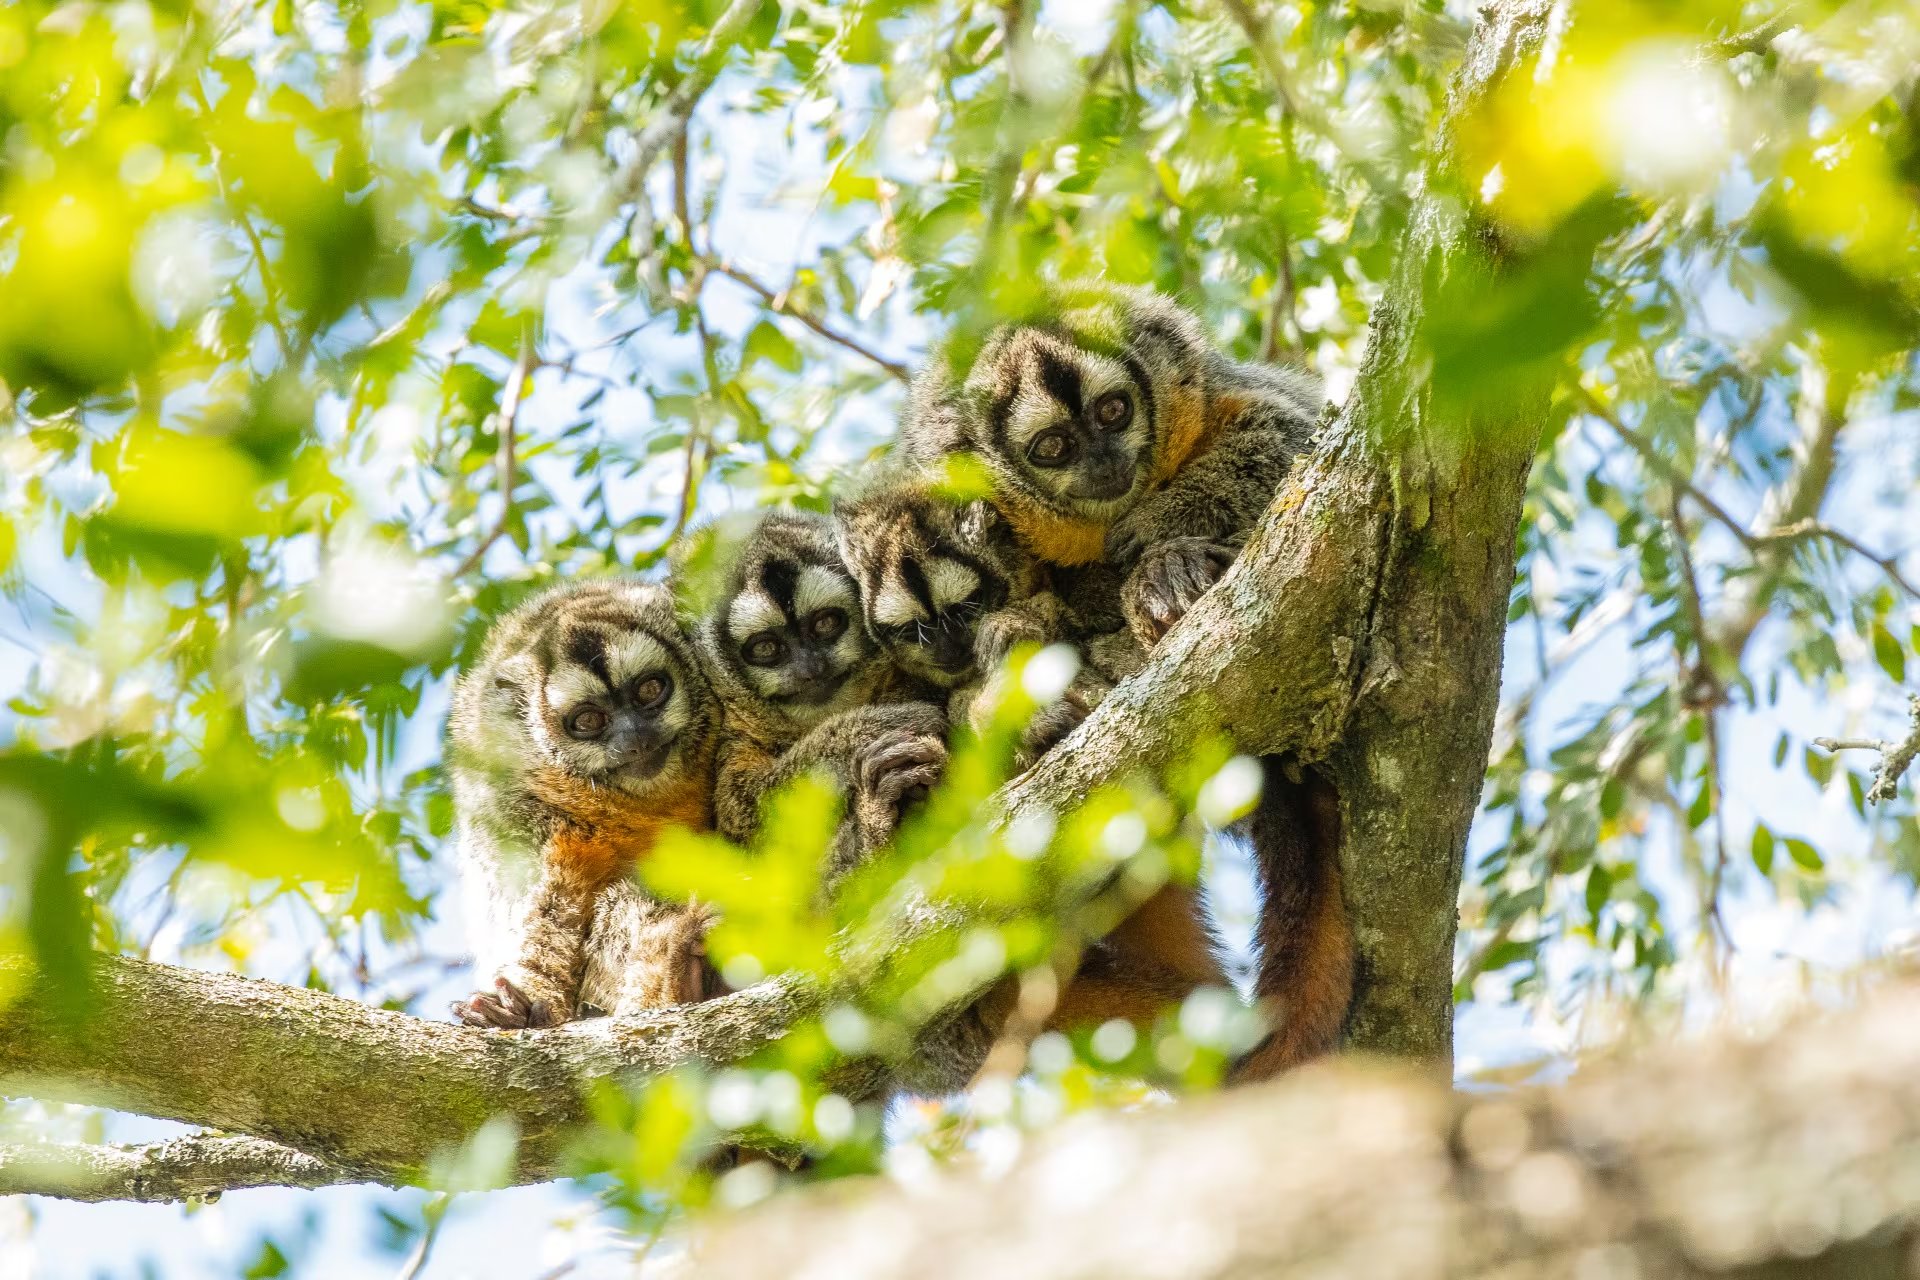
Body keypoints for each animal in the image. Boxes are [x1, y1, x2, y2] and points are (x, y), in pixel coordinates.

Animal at [446, 579, 724, 1029]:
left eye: (650, 689)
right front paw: (519, 1006)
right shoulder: (513, 803)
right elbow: (551, 902)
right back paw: (680, 976)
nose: (636, 738)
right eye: (588, 720)